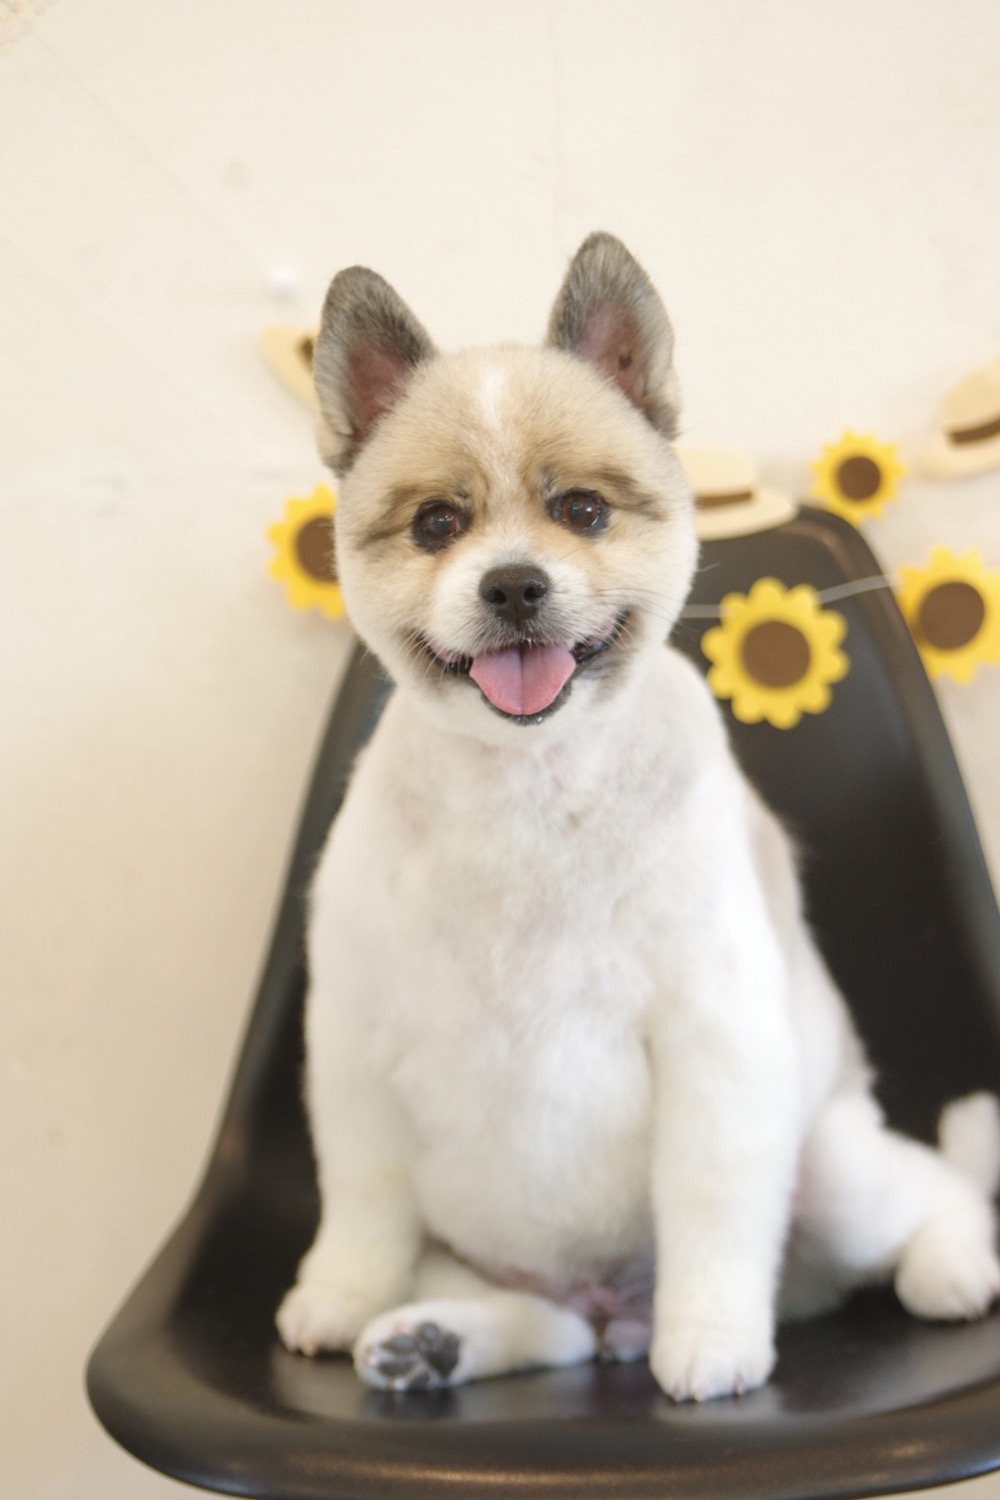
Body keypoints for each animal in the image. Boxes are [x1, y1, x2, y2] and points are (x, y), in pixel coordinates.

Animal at [276, 233, 1000, 1401]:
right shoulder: (353, 1045)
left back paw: (951, 1266)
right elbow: (361, 1205)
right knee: (555, 1330)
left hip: (833, 1161)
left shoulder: (717, 1041)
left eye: (582, 511)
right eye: (438, 524)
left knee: (937, 1191)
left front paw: (710, 1337)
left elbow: (713, 1211)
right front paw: (339, 1296)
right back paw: (431, 1338)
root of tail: (613, 1302)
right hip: (498, 1260)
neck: (530, 788)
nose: (514, 585)